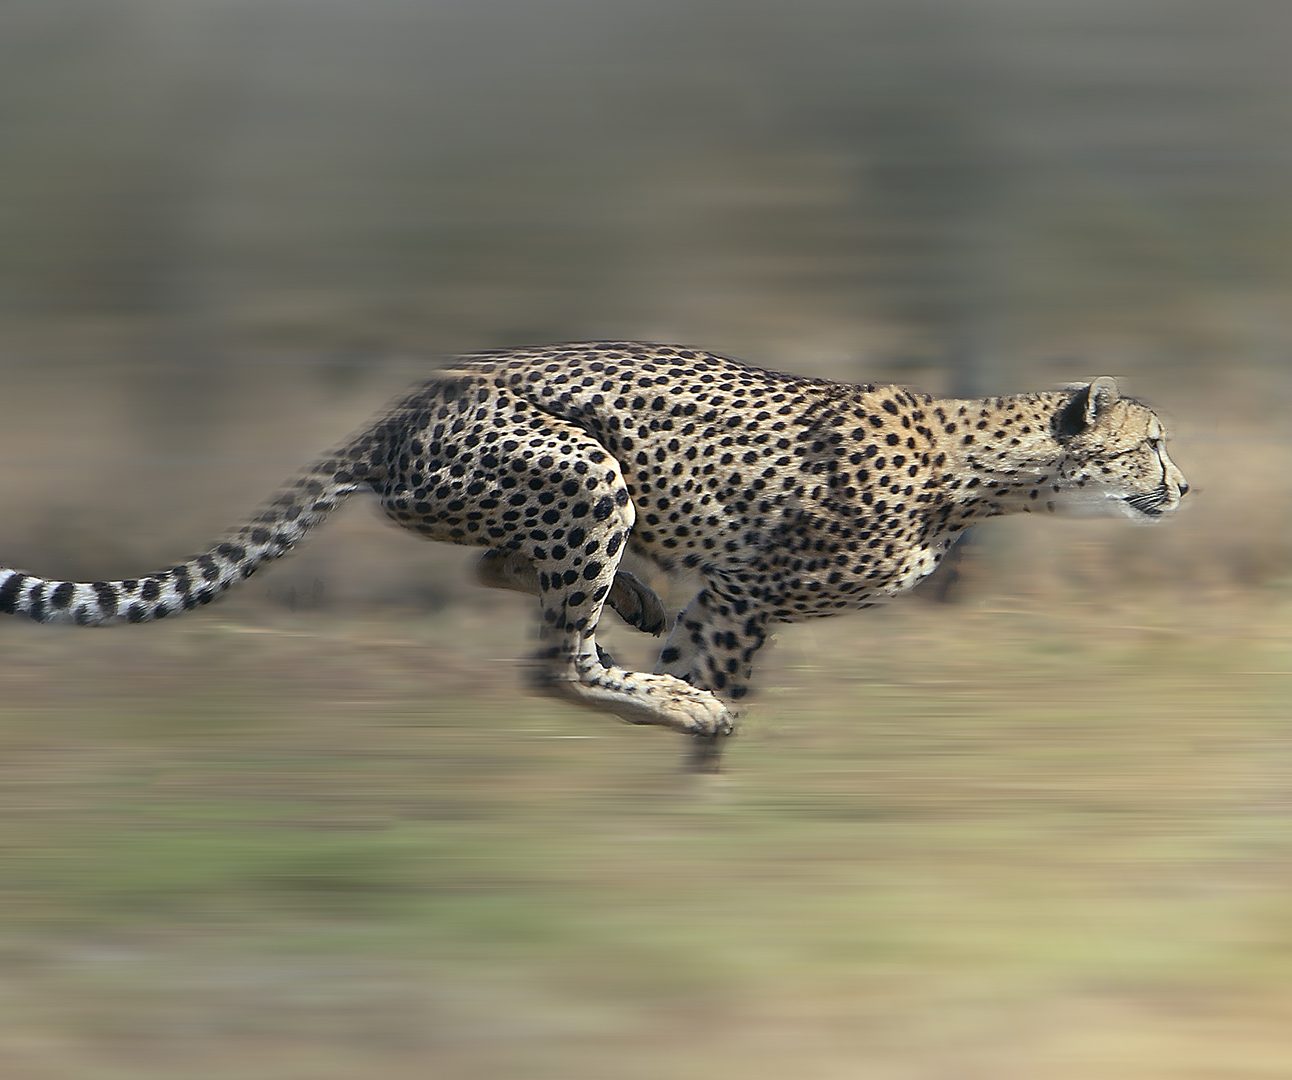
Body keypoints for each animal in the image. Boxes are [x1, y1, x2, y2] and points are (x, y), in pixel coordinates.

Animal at [0, 338, 1188, 769]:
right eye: (1151, 444)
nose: (1187, 488)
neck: (978, 466)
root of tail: (406, 405)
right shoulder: (745, 589)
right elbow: (717, 677)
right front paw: (695, 763)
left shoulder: (732, 591)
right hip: (582, 473)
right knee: (550, 659)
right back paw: (660, 684)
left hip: (549, 500)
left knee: (501, 572)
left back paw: (637, 612)